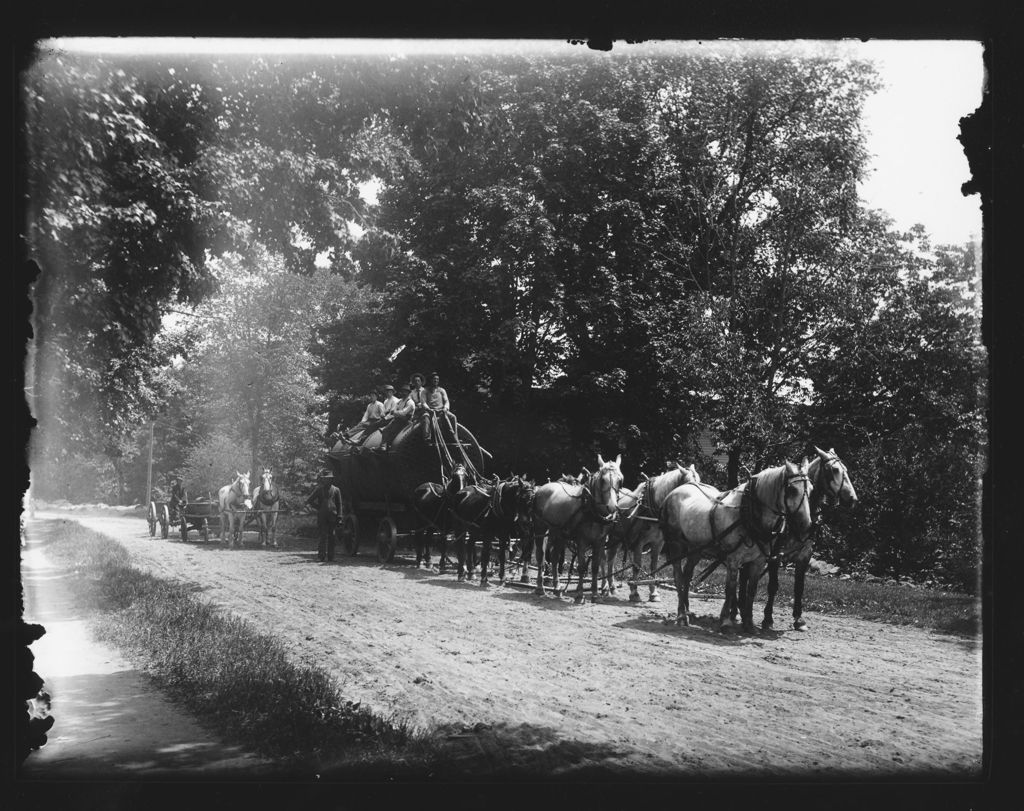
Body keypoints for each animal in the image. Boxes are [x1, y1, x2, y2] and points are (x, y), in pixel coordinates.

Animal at [532, 456, 618, 602]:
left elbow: (595, 567)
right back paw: (540, 588)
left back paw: (557, 588)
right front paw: (580, 595)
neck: (591, 509)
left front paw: (595, 594)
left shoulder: (599, 541)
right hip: (540, 529)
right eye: (602, 480)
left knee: (554, 558)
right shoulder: (581, 540)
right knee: (541, 557)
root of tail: (541, 488)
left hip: (558, 533)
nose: (612, 507)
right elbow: (582, 567)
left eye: (621, 480)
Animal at [598, 462, 704, 602]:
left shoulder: (658, 544)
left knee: (611, 559)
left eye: (700, 482)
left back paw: (612, 587)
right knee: (604, 559)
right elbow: (637, 566)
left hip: (617, 539)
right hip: (608, 538)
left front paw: (654, 593)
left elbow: (654, 567)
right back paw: (605, 587)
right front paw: (634, 593)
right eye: (688, 484)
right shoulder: (639, 543)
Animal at [655, 458, 815, 630]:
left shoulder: (758, 561)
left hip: (696, 549)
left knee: (687, 576)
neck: (747, 513)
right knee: (678, 577)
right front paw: (725, 620)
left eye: (811, 489)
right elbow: (730, 588)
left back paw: (687, 610)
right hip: (675, 545)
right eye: (792, 489)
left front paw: (749, 623)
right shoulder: (733, 559)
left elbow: (751, 590)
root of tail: (674, 492)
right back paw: (681, 616)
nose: (806, 525)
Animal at [733, 446, 860, 630]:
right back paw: (738, 608)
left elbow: (799, 587)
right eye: (835, 470)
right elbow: (773, 586)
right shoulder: (775, 556)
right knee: (743, 575)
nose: (852, 499)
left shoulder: (804, 556)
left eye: (846, 470)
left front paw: (799, 619)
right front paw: (767, 618)